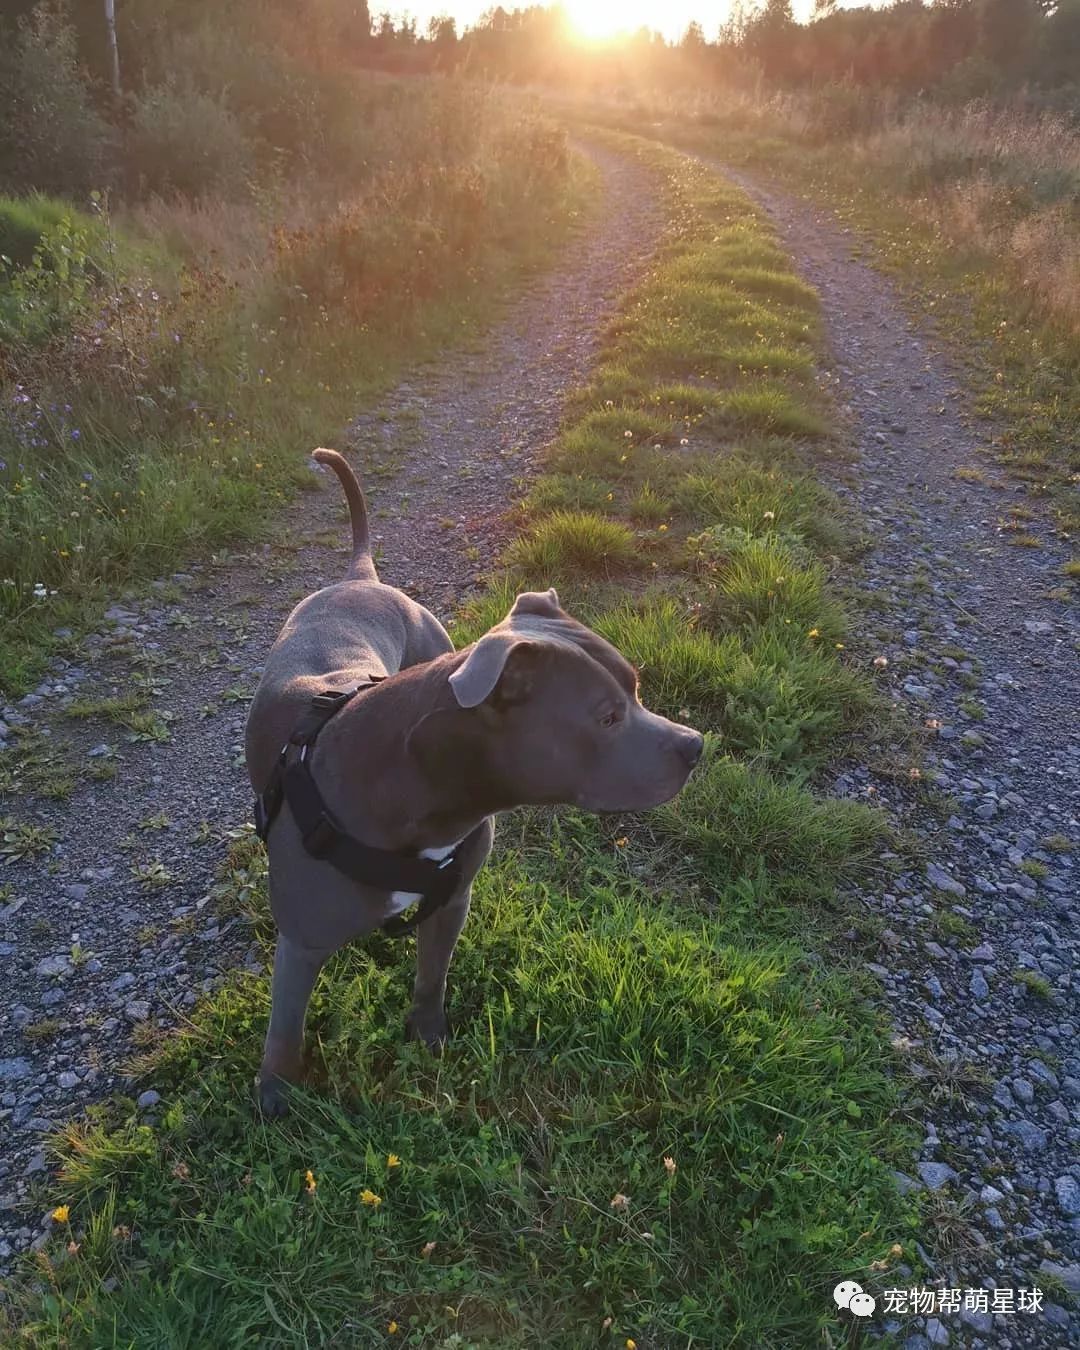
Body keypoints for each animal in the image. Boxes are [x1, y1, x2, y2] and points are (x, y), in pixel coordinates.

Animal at [243, 448, 702, 1112]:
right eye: (607, 717)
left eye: (634, 688)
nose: (696, 746)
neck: (419, 778)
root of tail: (362, 576)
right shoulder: (302, 943)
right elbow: (286, 1026)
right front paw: (278, 1095)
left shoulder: (452, 901)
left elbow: (432, 978)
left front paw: (429, 1037)